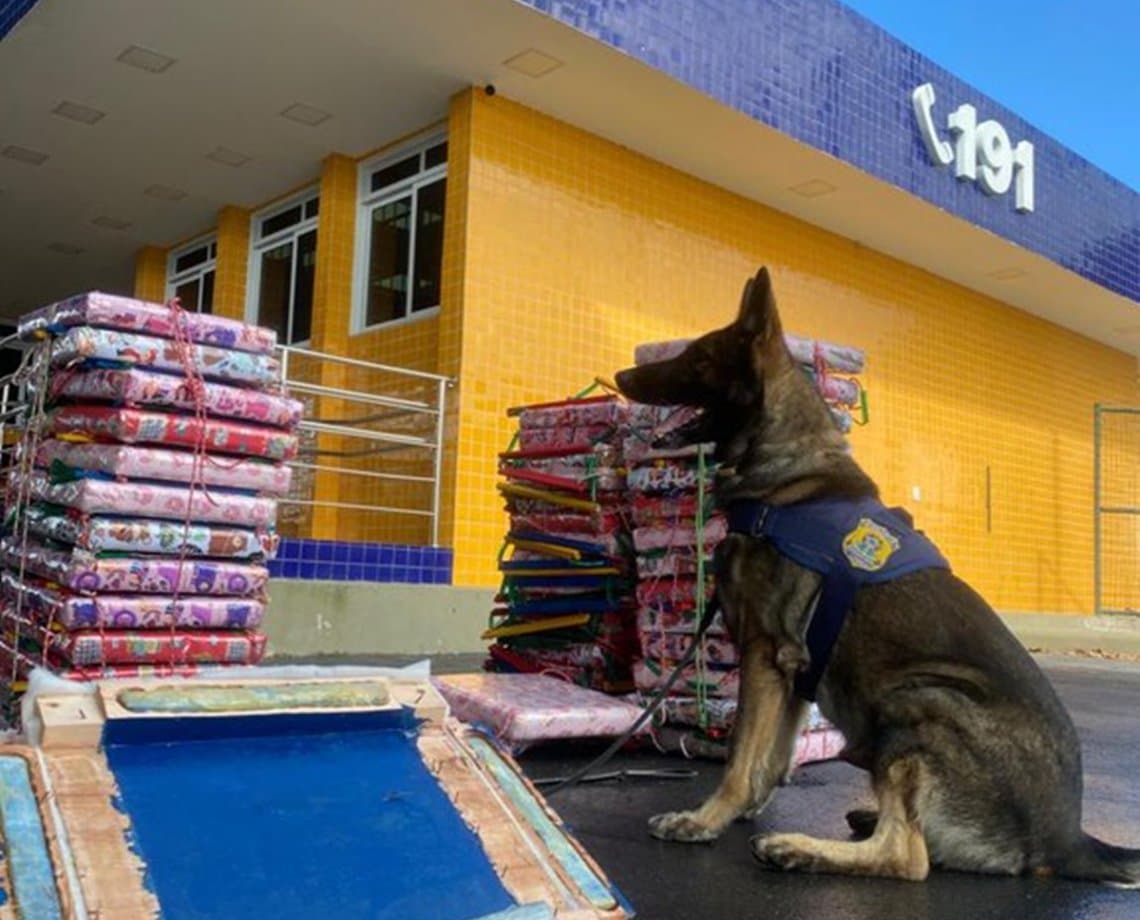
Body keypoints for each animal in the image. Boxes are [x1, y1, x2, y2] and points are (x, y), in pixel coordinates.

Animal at [615, 266, 1140, 884]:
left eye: (697, 358)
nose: (621, 373)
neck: (784, 469)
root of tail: (1067, 842)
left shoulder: (765, 653)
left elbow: (743, 756)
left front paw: (705, 819)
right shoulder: (794, 670)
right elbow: (772, 757)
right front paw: (740, 810)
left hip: (919, 699)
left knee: (907, 857)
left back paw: (797, 848)